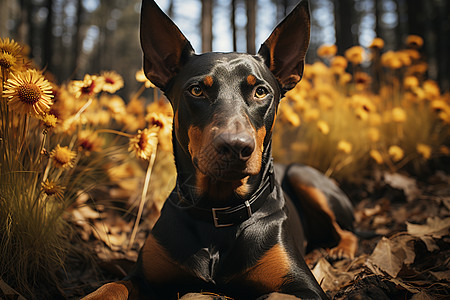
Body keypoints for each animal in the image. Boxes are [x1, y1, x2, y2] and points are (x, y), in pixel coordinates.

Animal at [83, 1, 358, 298]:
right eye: (196, 90)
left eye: (260, 91)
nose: (236, 146)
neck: (219, 211)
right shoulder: (143, 276)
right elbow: (109, 287)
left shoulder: (303, 286)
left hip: (303, 176)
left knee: (349, 230)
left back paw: (339, 250)